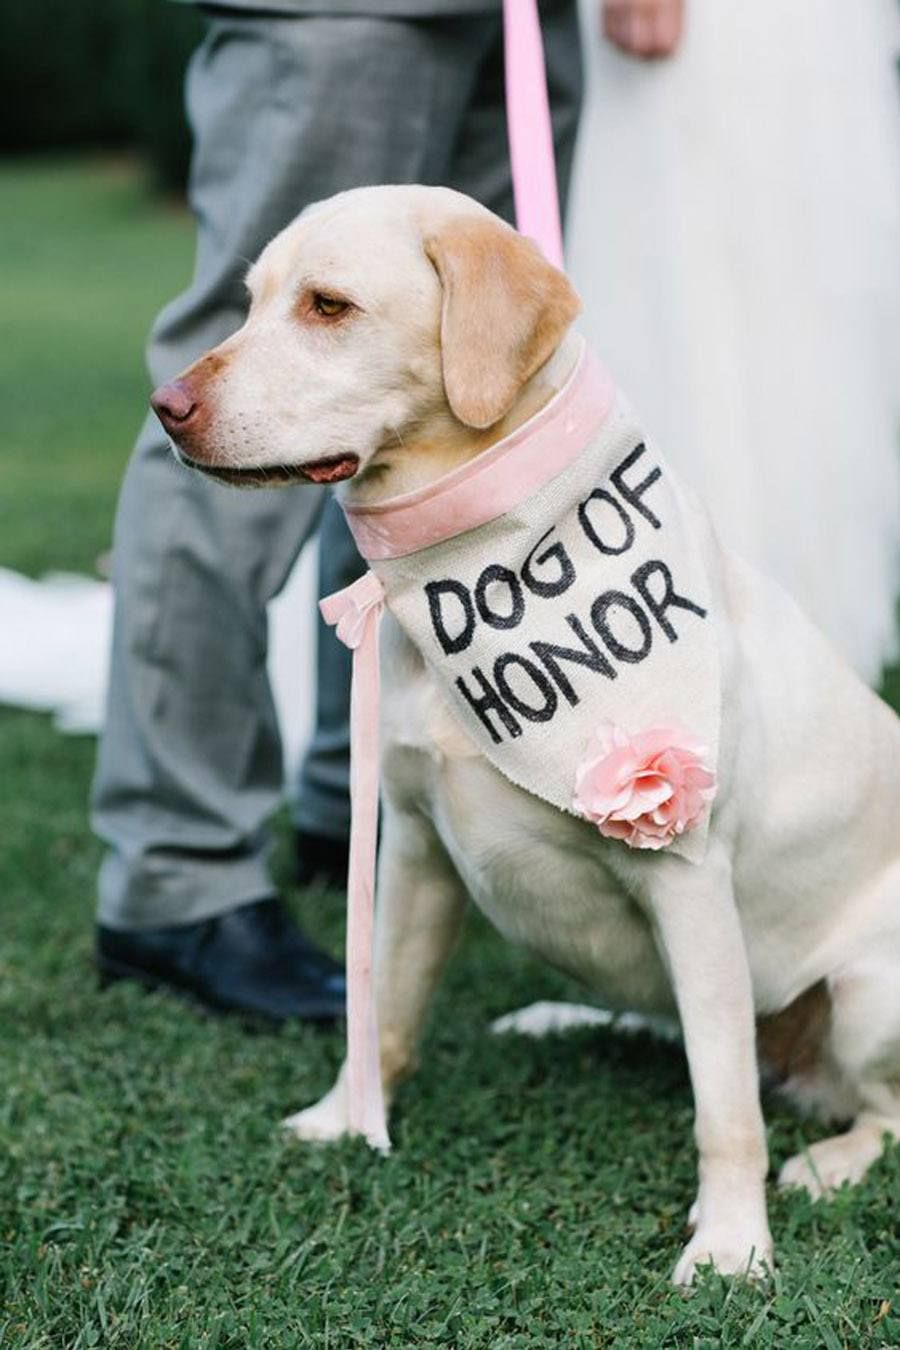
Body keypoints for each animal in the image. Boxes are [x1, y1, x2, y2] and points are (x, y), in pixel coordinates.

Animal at [151, 184, 900, 1279]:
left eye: (329, 306)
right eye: (249, 303)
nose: (165, 406)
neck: (470, 558)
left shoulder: (692, 883)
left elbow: (725, 1110)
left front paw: (729, 1245)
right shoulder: (414, 846)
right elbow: (383, 1010)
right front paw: (346, 1119)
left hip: (870, 990)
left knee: (870, 1111)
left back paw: (827, 1162)